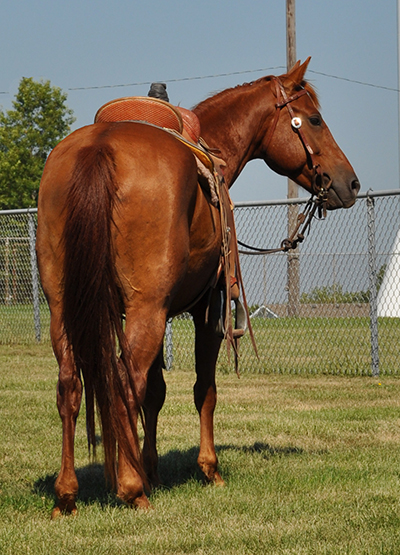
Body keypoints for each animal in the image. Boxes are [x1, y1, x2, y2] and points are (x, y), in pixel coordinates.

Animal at [35, 57, 360, 516]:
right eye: (314, 119)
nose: (351, 184)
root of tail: (100, 147)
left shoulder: (159, 313)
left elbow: (156, 392)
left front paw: (150, 468)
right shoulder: (208, 309)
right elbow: (204, 390)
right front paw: (209, 470)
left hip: (65, 307)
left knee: (71, 386)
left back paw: (68, 495)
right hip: (145, 310)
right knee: (125, 383)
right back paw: (131, 490)